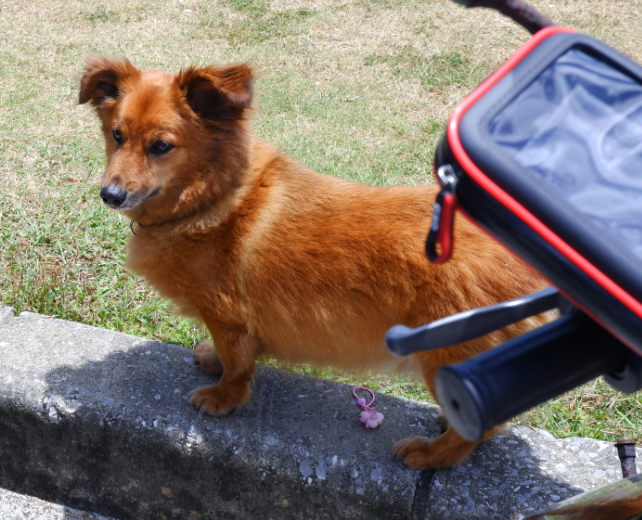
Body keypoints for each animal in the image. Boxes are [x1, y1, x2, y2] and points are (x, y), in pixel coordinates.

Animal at [80, 58, 548, 472]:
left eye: (161, 146)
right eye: (117, 135)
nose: (111, 195)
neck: (212, 196)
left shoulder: (229, 319)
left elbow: (237, 367)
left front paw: (223, 398)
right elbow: (228, 356)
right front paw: (212, 360)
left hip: (444, 354)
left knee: (479, 431)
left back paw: (433, 454)